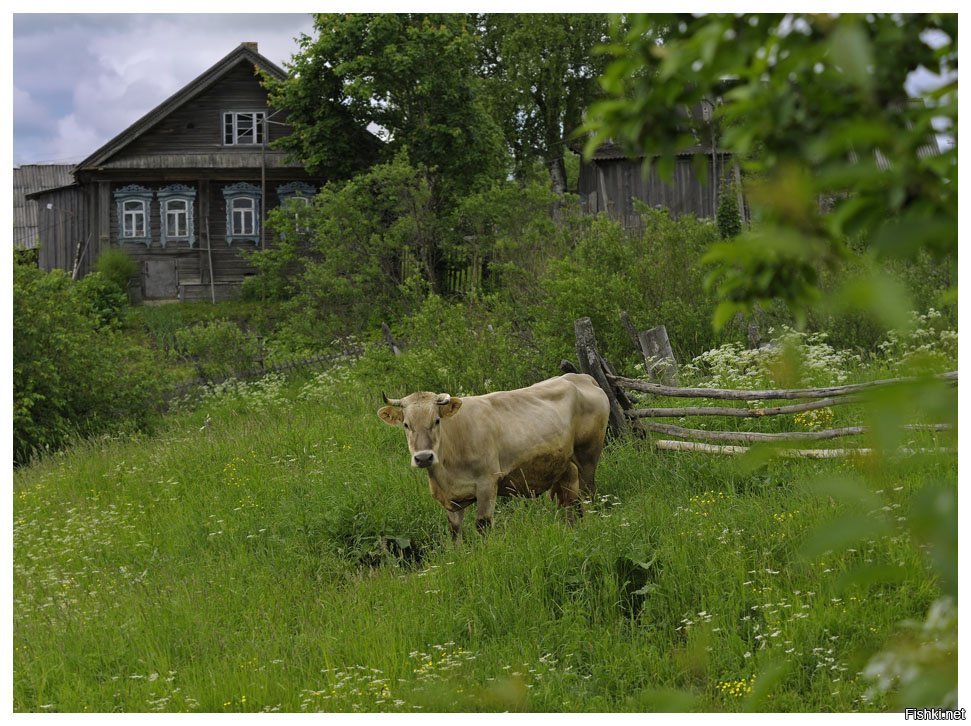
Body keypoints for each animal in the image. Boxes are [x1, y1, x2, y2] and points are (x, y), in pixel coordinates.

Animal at [378, 378, 608, 544]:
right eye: (406, 425)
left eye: (436, 421)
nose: (424, 457)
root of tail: (579, 377)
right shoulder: (450, 499)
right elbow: (455, 532)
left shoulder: (487, 483)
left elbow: (483, 525)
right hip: (565, 468)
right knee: (570, 503)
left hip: (588, 457)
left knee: (588, 496)